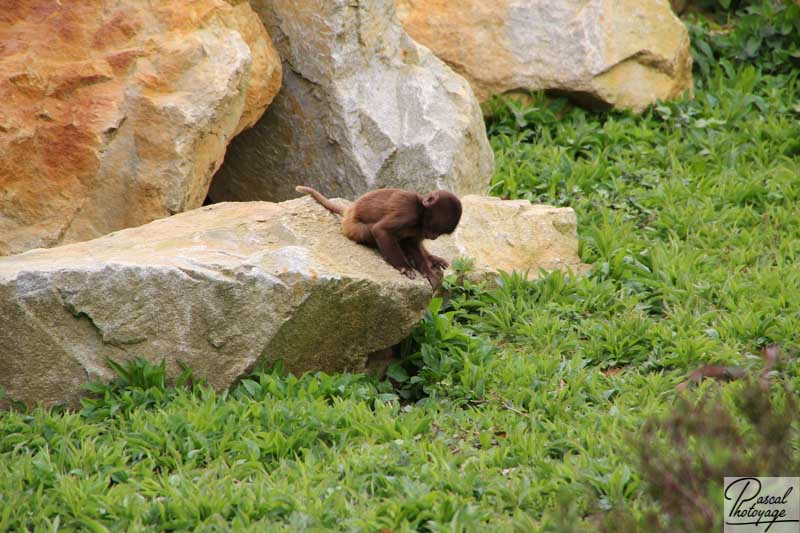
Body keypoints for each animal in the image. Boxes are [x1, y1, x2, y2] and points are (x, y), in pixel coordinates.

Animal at [296, 185, 462, 284]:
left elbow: (412, 243)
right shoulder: (407, 212)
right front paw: (405, 267)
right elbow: (380, 230)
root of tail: (349, 211)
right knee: (370, 230)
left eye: (439, 233)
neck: (420, 210)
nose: (433, 237)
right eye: (434, 228)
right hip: (353, 228)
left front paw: (426, 269)